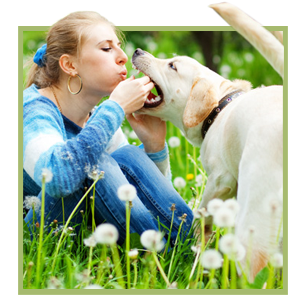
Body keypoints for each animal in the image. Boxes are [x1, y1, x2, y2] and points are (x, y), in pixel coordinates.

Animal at [133, 2, 284, 280]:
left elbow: (201, 217)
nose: (137, 51)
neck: (219, 108)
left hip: (255, 210)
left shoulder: (219, 181)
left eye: (172, 66)